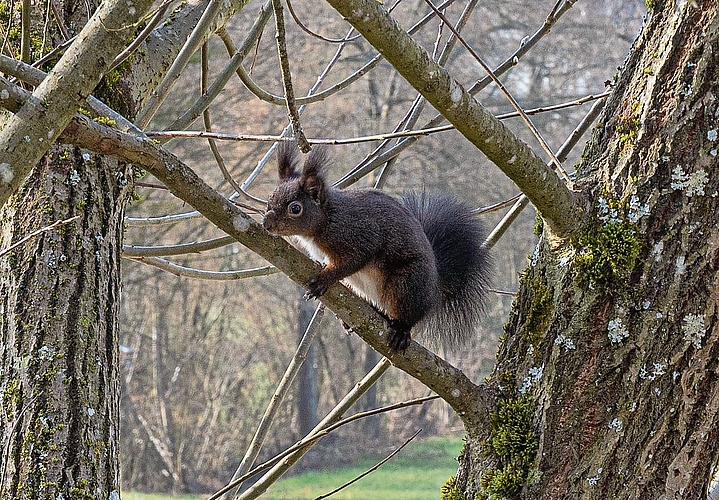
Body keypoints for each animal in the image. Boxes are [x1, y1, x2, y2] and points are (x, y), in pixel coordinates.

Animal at [263, 142, 491, 353]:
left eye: (295, 208)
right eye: (269, 199)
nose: (266, 224)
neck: (327, 217)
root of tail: (436, 288)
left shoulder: (358, 236)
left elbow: (353, 261)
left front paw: (324, 279)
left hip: (408, 284)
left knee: (410, 314)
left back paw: (401, 330)